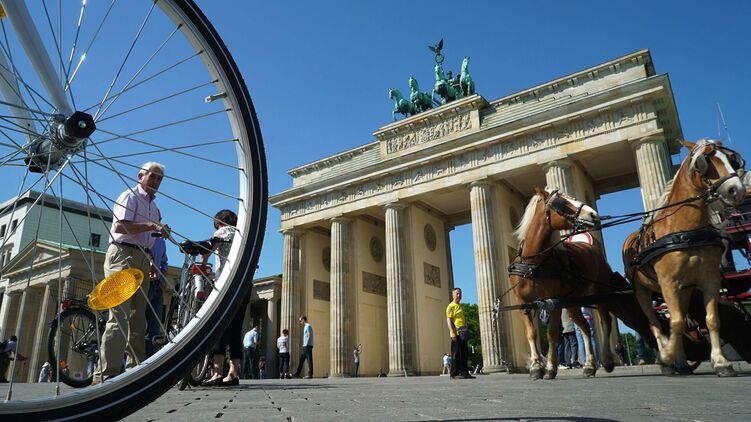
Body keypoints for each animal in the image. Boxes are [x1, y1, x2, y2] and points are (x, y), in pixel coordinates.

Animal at [624, 140, 748, 378]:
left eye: (733, 160)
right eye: (704, 162)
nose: (736, 190)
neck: (685, 231)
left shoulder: (709, 280)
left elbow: (711, 320)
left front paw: (721, 362)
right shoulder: (668, 283)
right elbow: (675, 322)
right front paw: (667, 356)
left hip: (685, 290)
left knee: (677, 320)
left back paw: (680, 361)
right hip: (642, 291)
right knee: (655, 323)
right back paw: (668, 360)